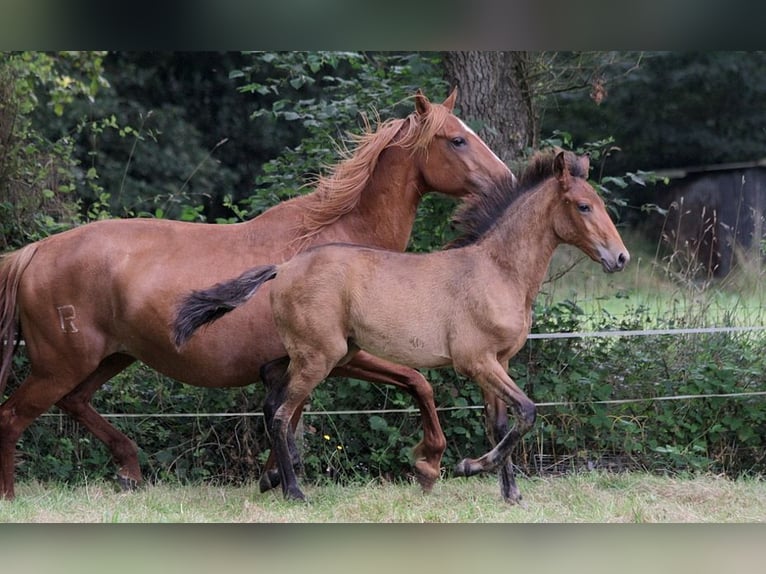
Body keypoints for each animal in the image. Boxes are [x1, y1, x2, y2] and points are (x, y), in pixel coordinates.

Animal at [1, 89, 516, 500]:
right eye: (456, 139)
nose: (509, 181)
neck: (335, 242)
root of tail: (35, 251)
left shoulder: (305, 362)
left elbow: (289, 414)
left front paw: (274, 478)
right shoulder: (339, 356)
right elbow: (415, 383)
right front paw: (428, 462)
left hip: (110, 358)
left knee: (75, 403)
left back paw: (129, 469)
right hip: (60, 365)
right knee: (12, 418)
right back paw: (13, 496)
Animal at [177, 152, 632, 504]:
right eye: (583, 206)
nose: (621, 258)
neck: (498, 272)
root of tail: (284, 267)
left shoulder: (498, 363)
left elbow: (502, 423)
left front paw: (510, 494)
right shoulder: (477, 362)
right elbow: (528, 411)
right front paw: (468, 467)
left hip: (322, 354)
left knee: (272, 397)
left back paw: (275, 481)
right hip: (319, 357)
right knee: (281, 413)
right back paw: (295, 492)